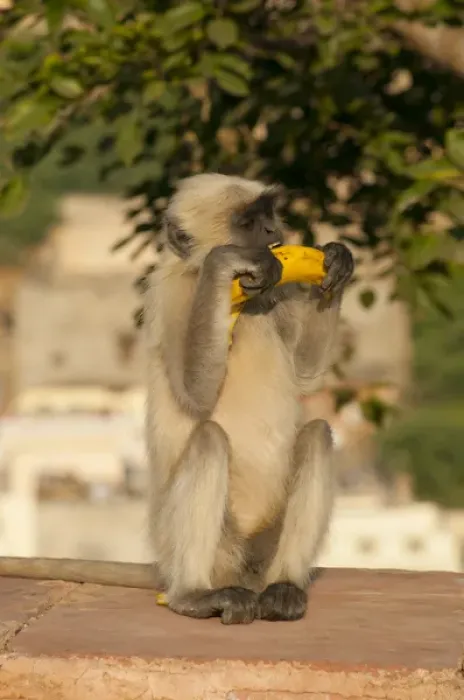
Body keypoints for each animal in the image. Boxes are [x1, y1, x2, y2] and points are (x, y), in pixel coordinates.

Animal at [0, 173, 353, 625]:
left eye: (269, 215)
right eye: (248, 222)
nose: (274, 233)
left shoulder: (275, 294)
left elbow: (307, 378)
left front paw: (338, 261)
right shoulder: (170, 296)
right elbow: (195, 396)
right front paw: (224, 263)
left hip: (263, 543)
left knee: (316, 435)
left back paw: (284, 587)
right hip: (196, 541)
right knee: (209, 439)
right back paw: (192, 595)